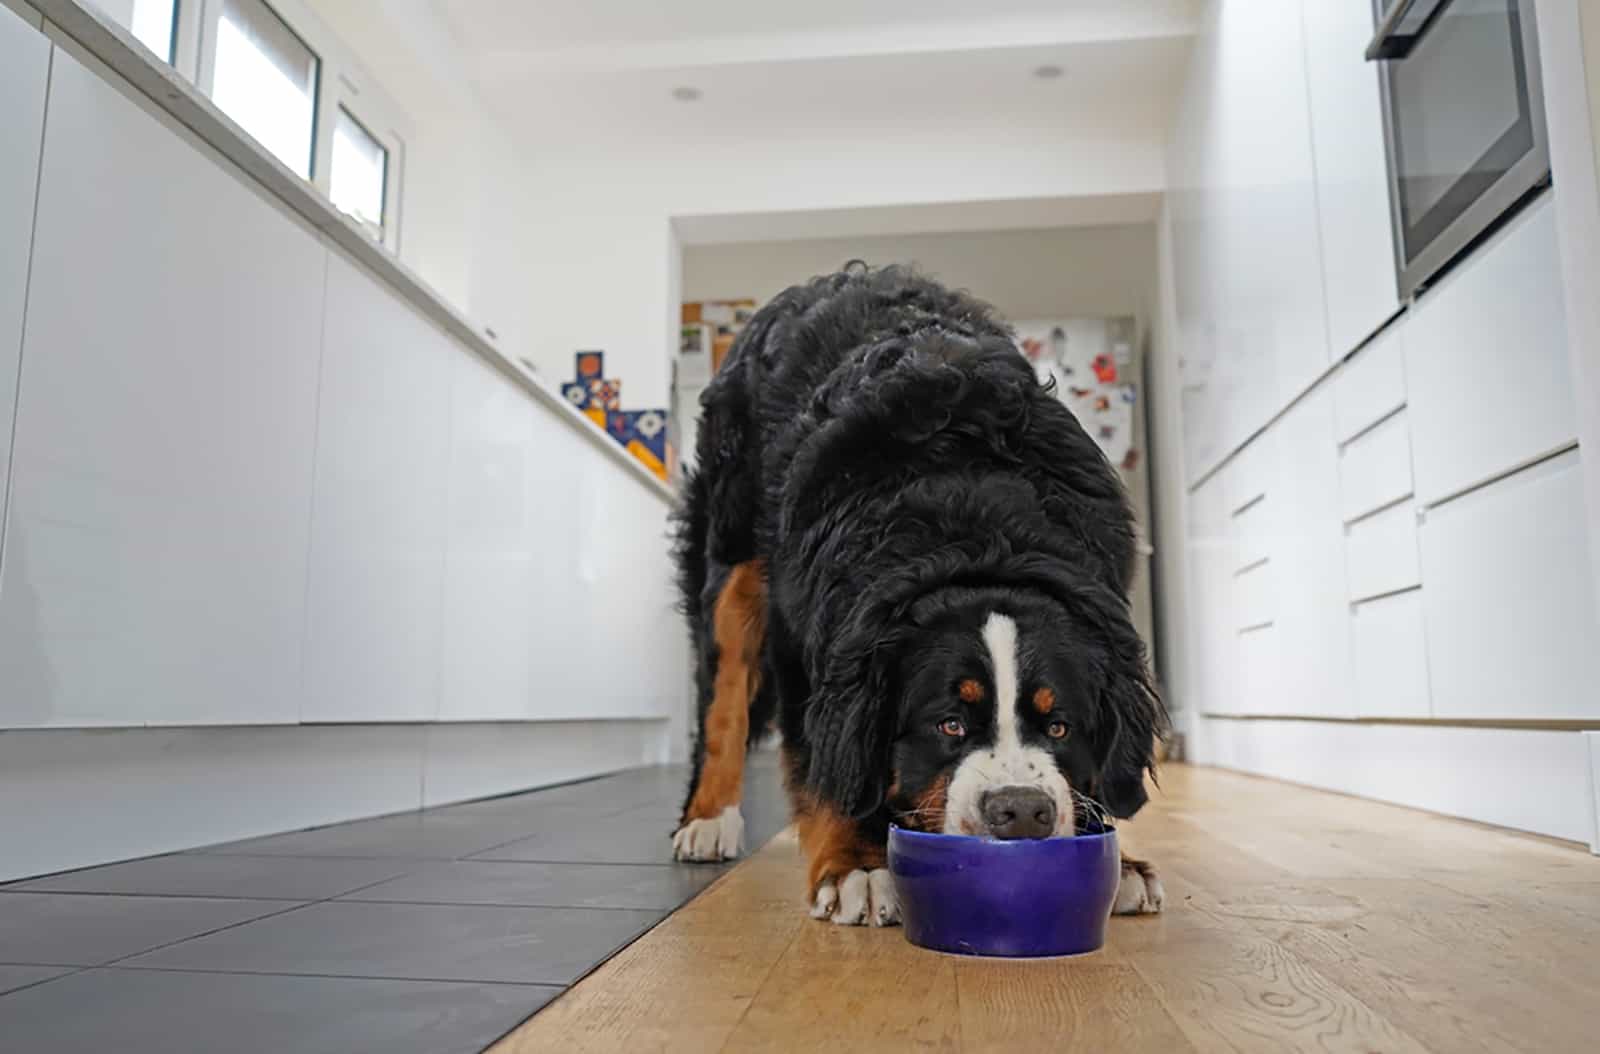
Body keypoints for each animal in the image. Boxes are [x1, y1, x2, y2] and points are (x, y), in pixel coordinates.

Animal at [668, 263, 1171, 921]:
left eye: (1059, 726)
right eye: (949, 724)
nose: (1022, 811)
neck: (978, 531)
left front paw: (1120, 860)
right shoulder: (806, 641)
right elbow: (825, 761)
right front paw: (856, 863)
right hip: (733, 556)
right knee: (723, 695)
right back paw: (708, 820)